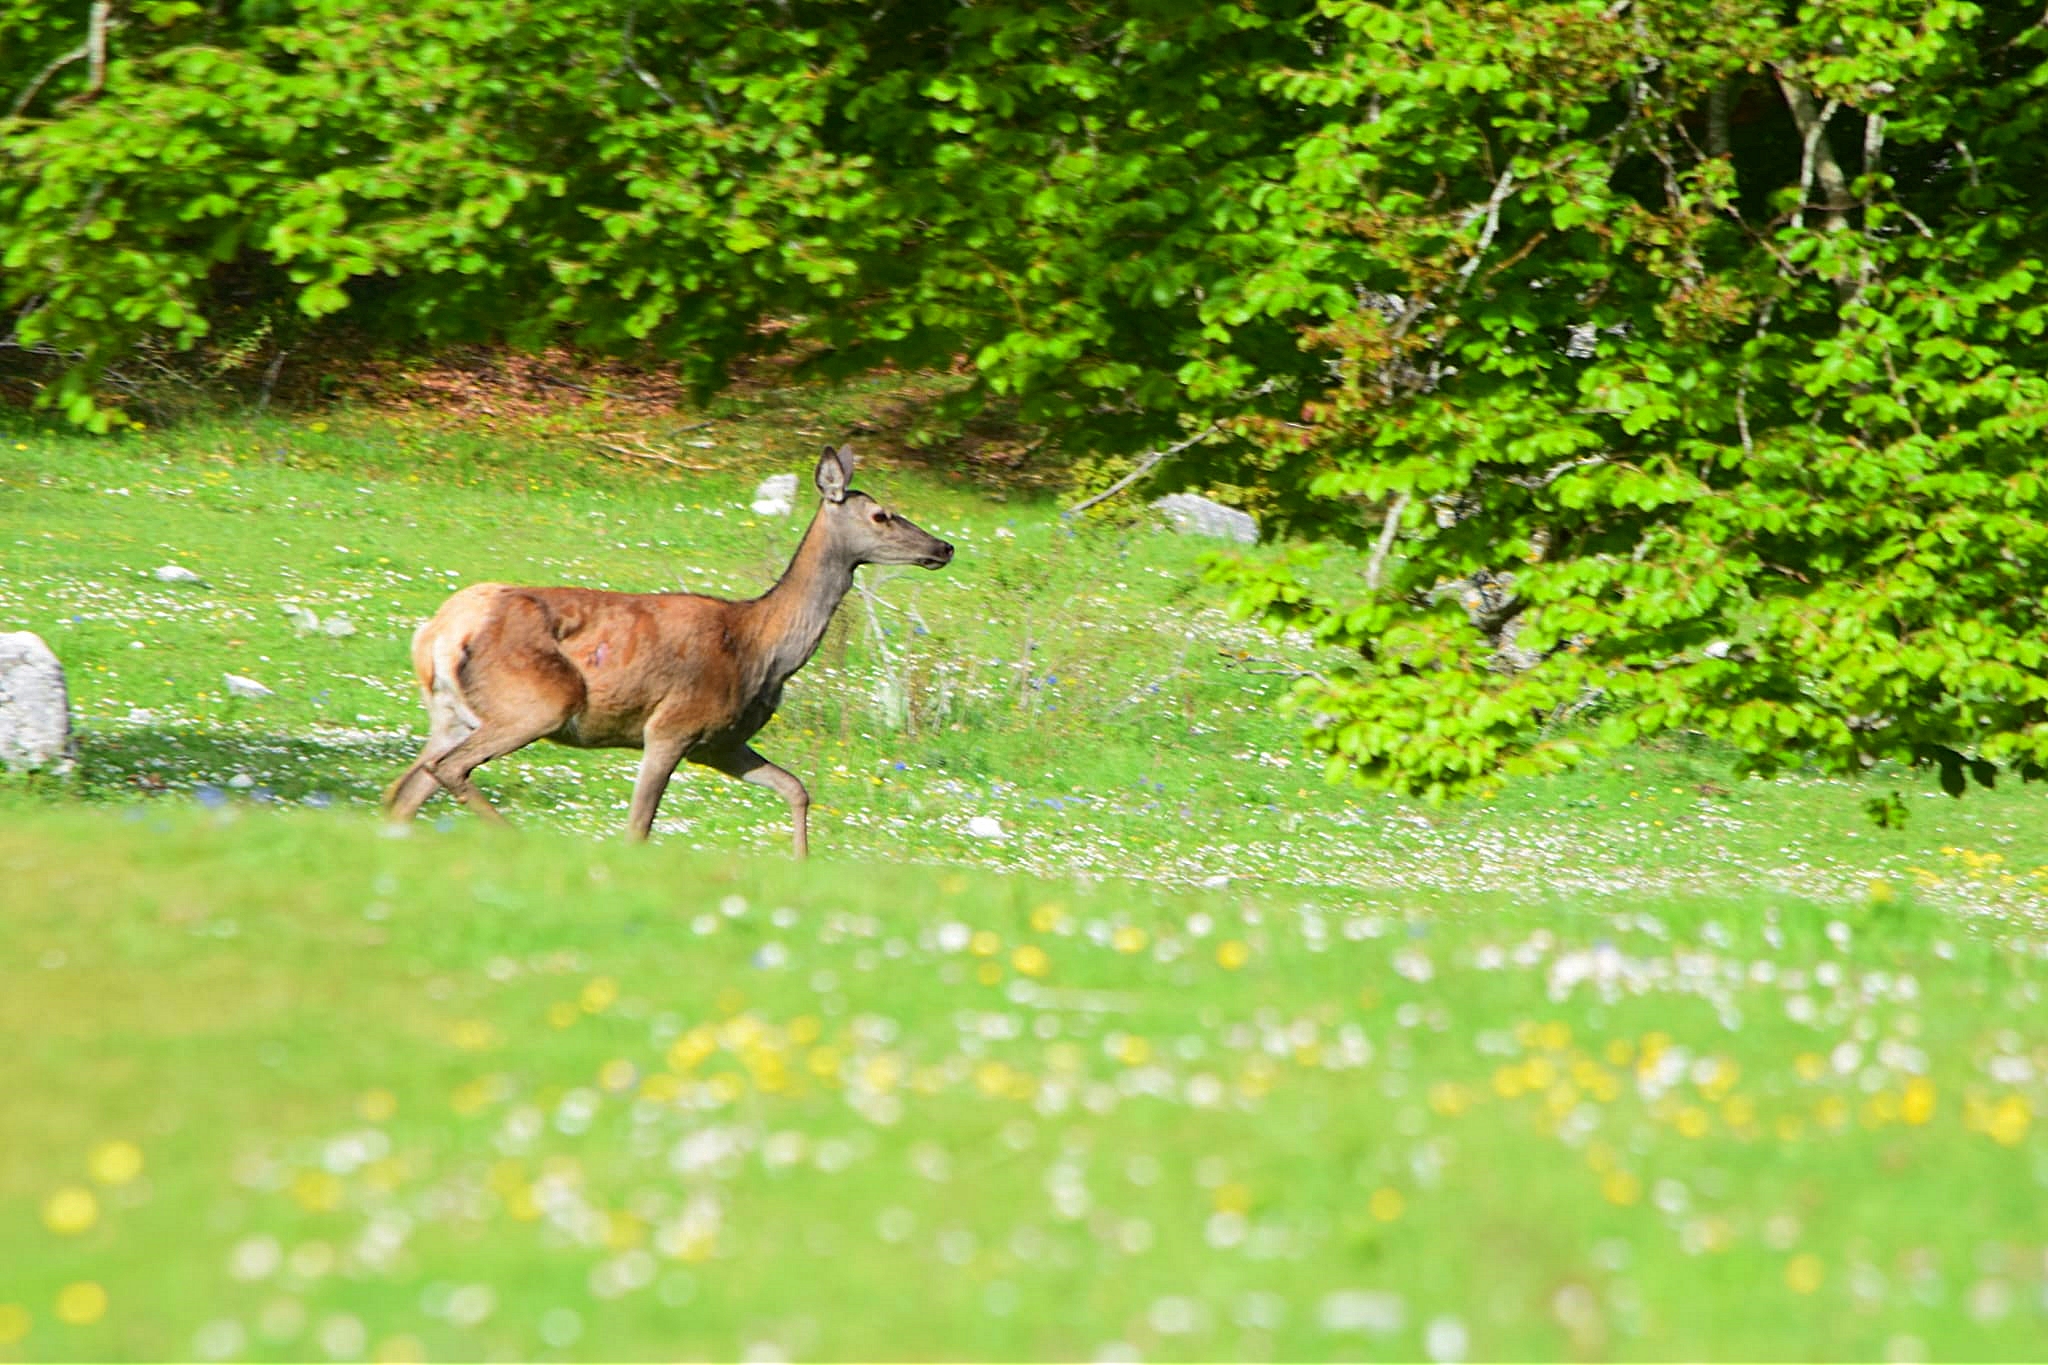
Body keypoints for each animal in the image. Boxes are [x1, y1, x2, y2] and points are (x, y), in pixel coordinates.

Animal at [382, 444, 954, 856]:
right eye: (881, 515)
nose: (944, 546)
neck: (762, 649)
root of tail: (437, 631)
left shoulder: (720, 742)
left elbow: (796, 788)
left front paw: (801, 863)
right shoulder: (671, 725)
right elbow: (639, 827)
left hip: (452, 714)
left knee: (404, 790)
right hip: (537, 700)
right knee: (448, 770)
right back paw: (513, 837)